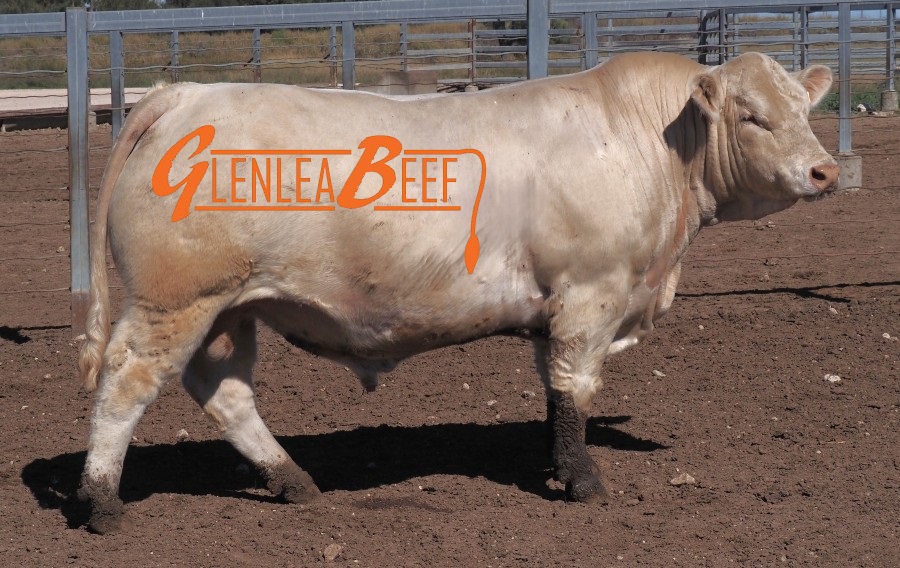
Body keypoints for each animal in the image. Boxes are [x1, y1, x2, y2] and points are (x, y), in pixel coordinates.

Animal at [76, 51, 839, 533]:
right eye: (753, 116)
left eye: (805, 108)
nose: (824, 171)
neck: (645, 138)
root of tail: (188, 93)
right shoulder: (590, 296)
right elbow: (576, 389)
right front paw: (583, 480)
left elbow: (554, 392)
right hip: (175, 302)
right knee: (125, 383)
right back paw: (102, 501)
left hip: (229, 310)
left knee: (225, 392)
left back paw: (292, 480)